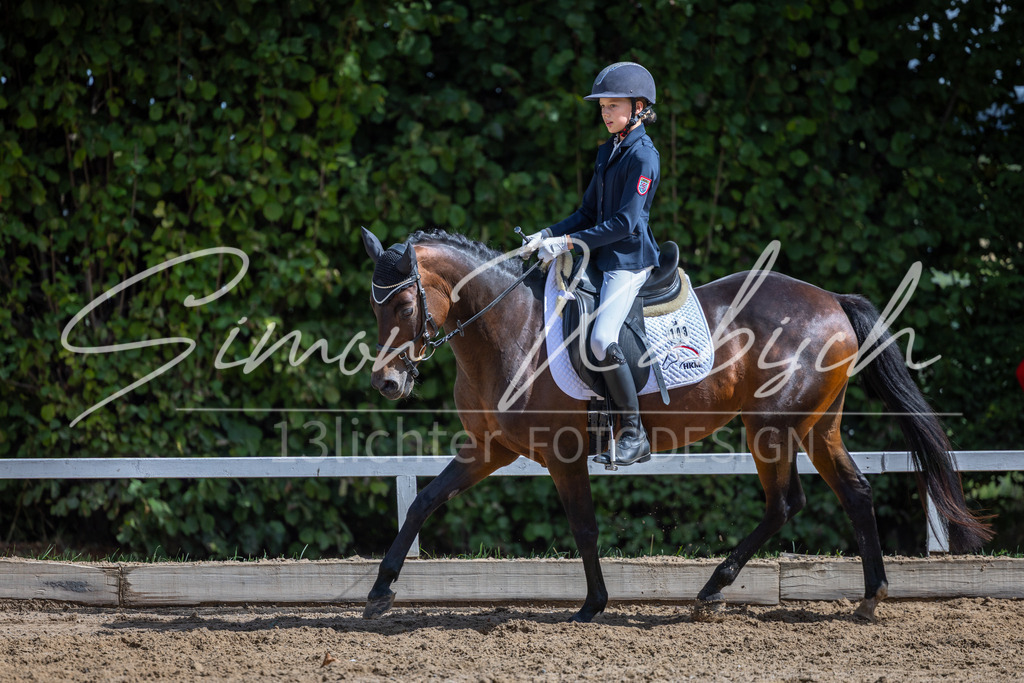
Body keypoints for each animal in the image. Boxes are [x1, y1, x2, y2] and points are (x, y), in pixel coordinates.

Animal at [359, 227, 991, 623]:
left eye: (404, 306)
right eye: (375, 306)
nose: (387, 383)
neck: (509, 329)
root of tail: (832, 299)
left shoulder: (562, 454)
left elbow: (584, 528)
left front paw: (592, 605)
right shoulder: (488, 448)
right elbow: (424, 503)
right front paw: (379, 592)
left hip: (770, 427)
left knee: (786, 502)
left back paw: (713, 589)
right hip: (815, 426)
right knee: (854, 492)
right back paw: (868, 597)